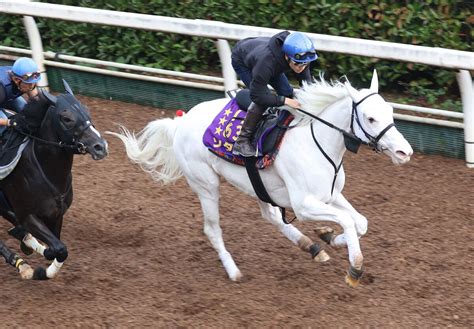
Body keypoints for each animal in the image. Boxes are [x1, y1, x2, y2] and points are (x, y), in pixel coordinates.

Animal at [0, 80, 107, 278]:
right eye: (66, 118)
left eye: (86, 110)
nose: (101, 146)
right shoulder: (28, 215)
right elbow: (59, 249)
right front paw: (42, 270)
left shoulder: (56, 214)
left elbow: (57, 246)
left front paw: (28, 243)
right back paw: (20, 263)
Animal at [109, 70, 412, 286]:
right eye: (370, 118)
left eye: (390, 112)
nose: (404, 152)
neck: (317, 142)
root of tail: (180, 123)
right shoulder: (304, 204)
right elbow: (349, 222)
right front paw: (354, 268)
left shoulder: (330, 195)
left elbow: (360, 223)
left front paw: (329, 237)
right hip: (206, 185)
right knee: (213, 229)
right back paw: (234, 271)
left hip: (257, 186)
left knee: (272, 216)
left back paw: (313, 246)